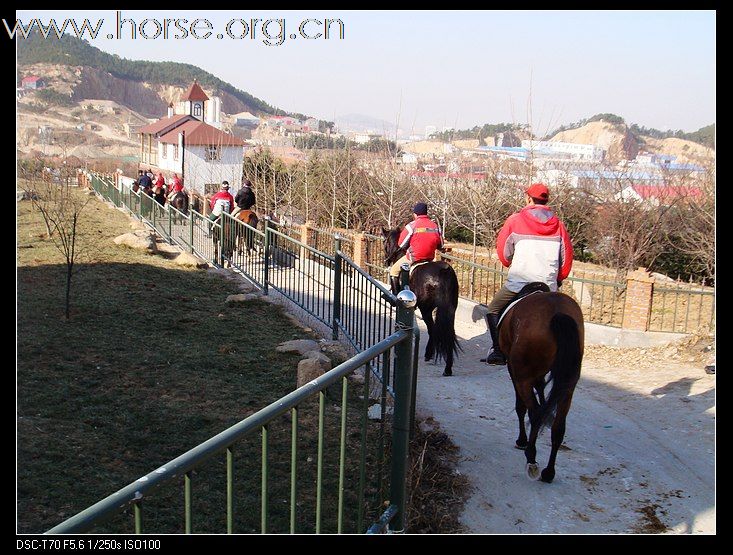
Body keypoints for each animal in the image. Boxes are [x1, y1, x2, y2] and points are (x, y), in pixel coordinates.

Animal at [498, 288, 584, 484]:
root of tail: (557, 312)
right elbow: (542, 391)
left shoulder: (515, 372)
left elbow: (521, 407)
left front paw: (522, 440)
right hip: (568, 385)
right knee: (559, 426)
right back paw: (549, 472)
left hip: (523, 377)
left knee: (534, 412)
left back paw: (531, 457)